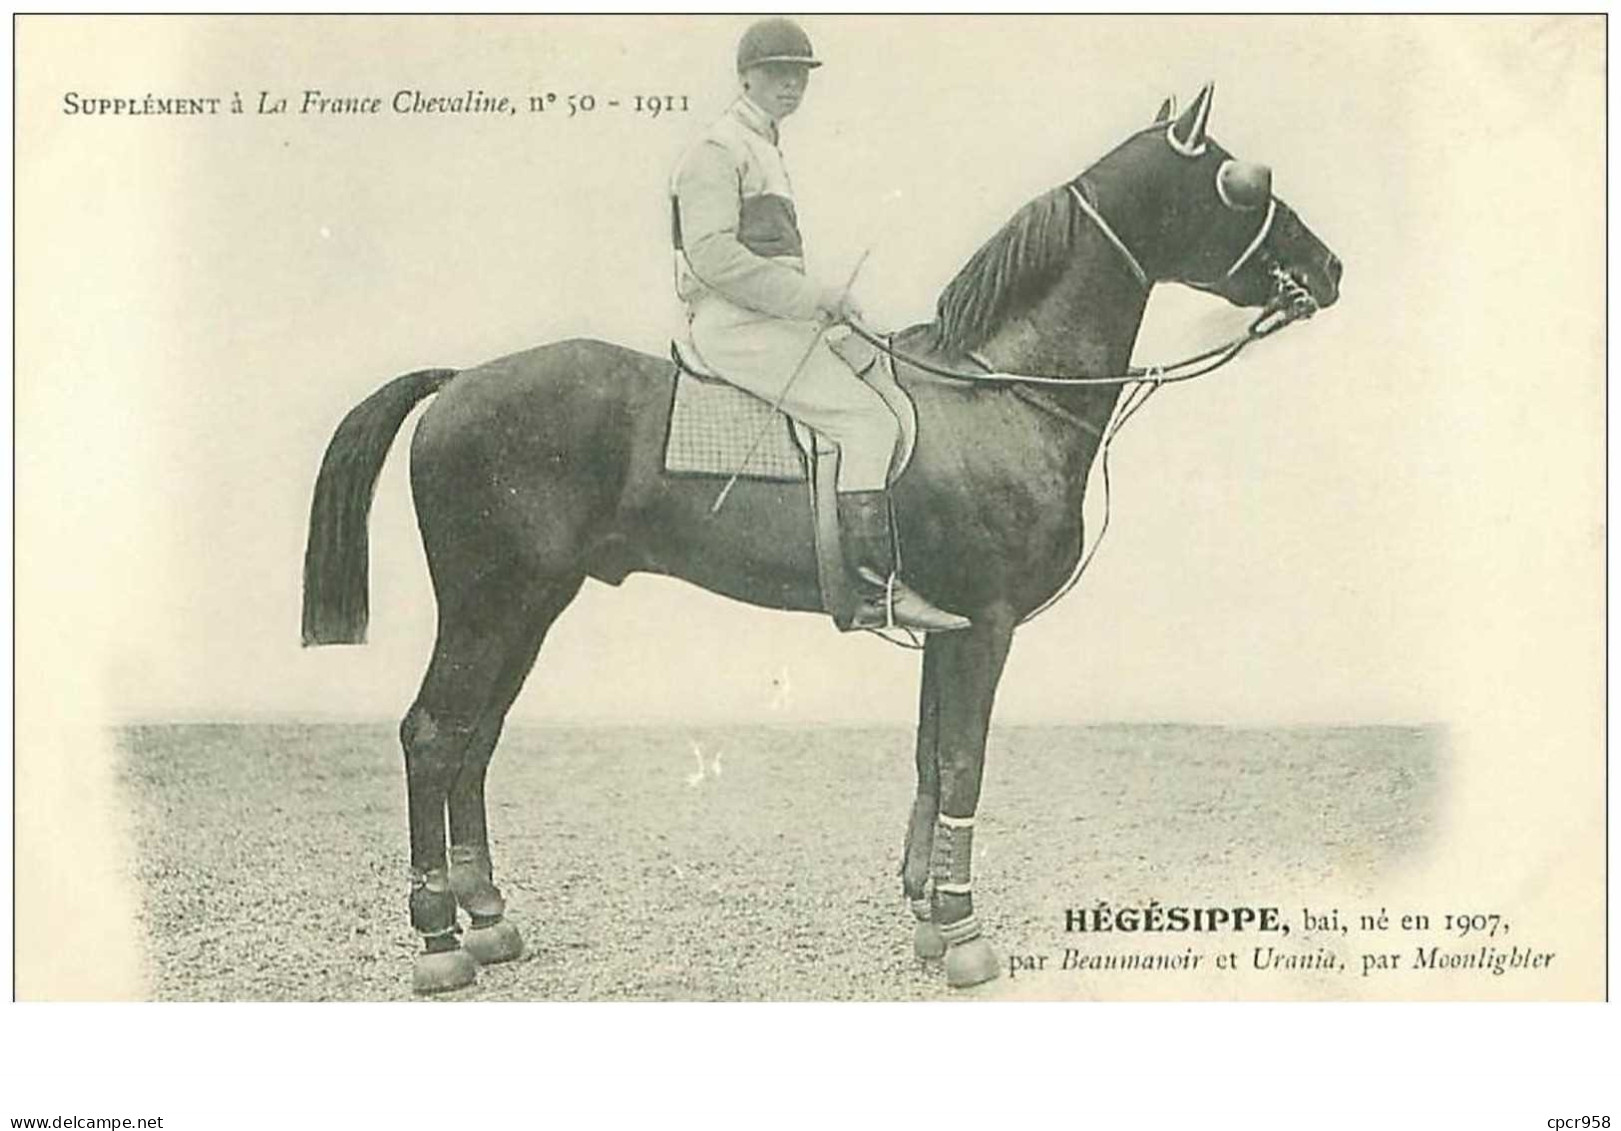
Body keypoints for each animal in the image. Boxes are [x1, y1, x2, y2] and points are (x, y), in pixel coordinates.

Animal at [304, 83, 1342, 991]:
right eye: (1239, 179)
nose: (1329, 269)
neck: (997, 387)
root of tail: (460, 380)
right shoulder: (987, 625)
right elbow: (963, 761)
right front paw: (963, 929)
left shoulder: (947, 629)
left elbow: (929, 756)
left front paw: (927, 911)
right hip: (489, 602)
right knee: (432, 735)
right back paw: (439, 938)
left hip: (530, 604)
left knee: (474, 741)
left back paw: (486, 916)